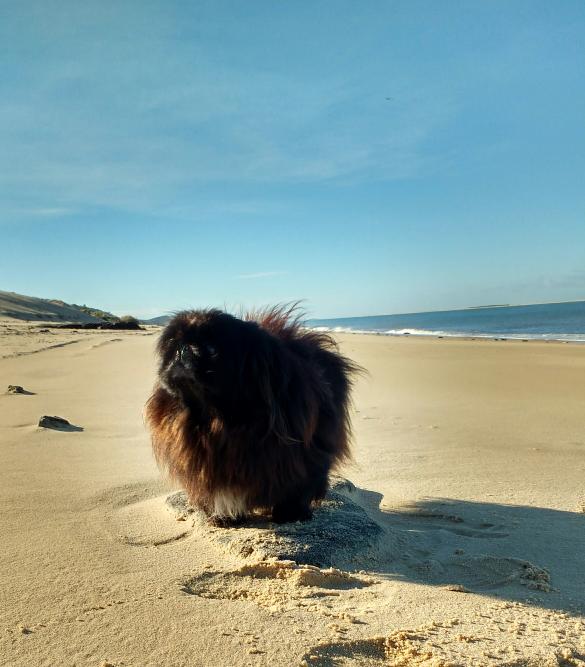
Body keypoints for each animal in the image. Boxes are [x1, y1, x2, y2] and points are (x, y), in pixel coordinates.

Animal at [144, 308, 358, 528]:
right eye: (172, 346)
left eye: (211, 349)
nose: (183, 350)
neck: (216, 422)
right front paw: (225, 518)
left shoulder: (301, 463)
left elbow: (297, 492)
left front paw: (290, 514)